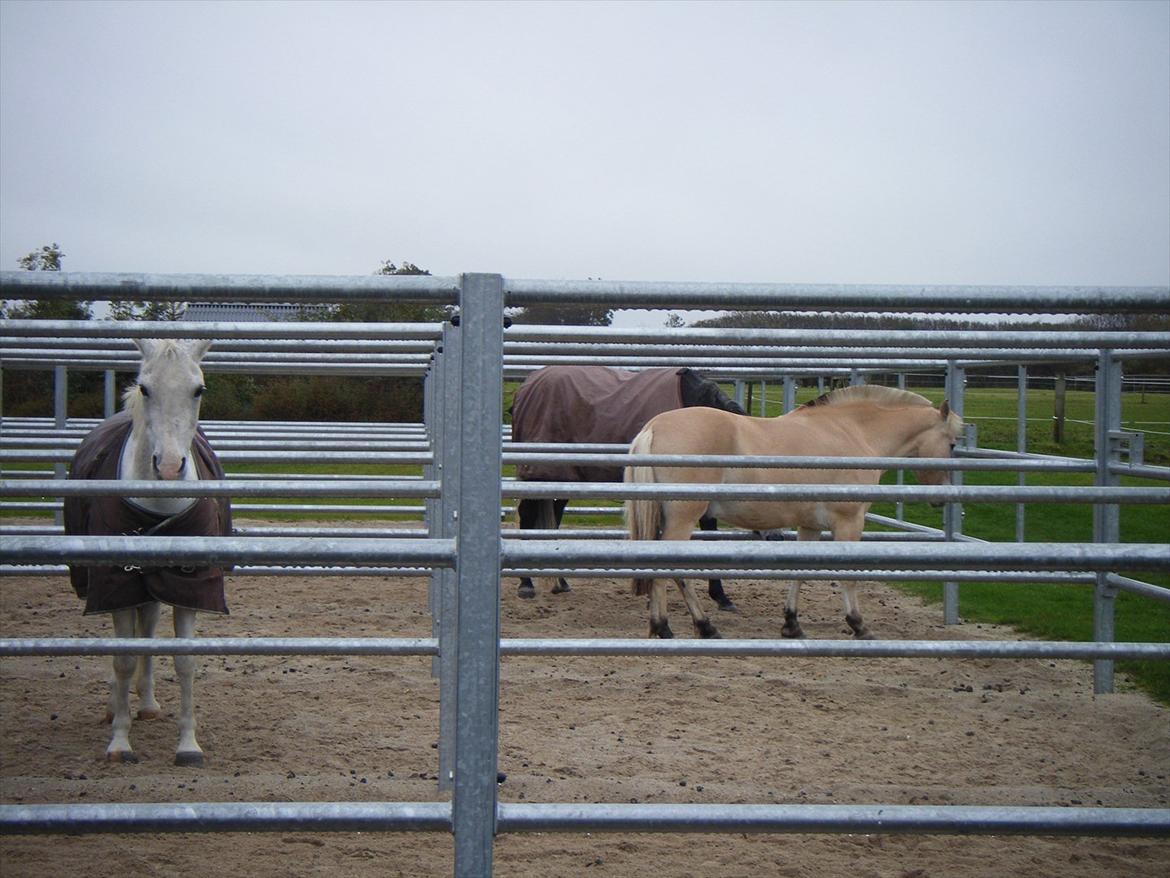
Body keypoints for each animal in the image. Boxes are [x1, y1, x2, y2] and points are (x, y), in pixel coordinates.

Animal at [63, 338, 230, 766]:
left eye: (198, 389)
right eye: (145, 388)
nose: (169, 468)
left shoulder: (190, 586)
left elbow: (184, 661)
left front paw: (188, 745)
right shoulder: (115, 585)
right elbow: (123, 659)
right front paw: (120, 742)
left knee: (150, 629)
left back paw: (149, 704)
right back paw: (115, 708)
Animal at [510, 365, 746, 607]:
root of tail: (529, 383)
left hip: (560, 479)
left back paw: (560, 582)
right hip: (538, 476)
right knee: (527, 518)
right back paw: (526, 583)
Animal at [624, 385, 964, 640]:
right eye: (951, 444)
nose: (941, 497)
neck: (853, 432)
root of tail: (653, 428)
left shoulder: (810, 526)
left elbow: (801, 572)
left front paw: (791, 624)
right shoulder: (849, 522)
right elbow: (849, 576)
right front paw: (858, 624)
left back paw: (668, 627)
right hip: (683, 518)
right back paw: (692, 627)